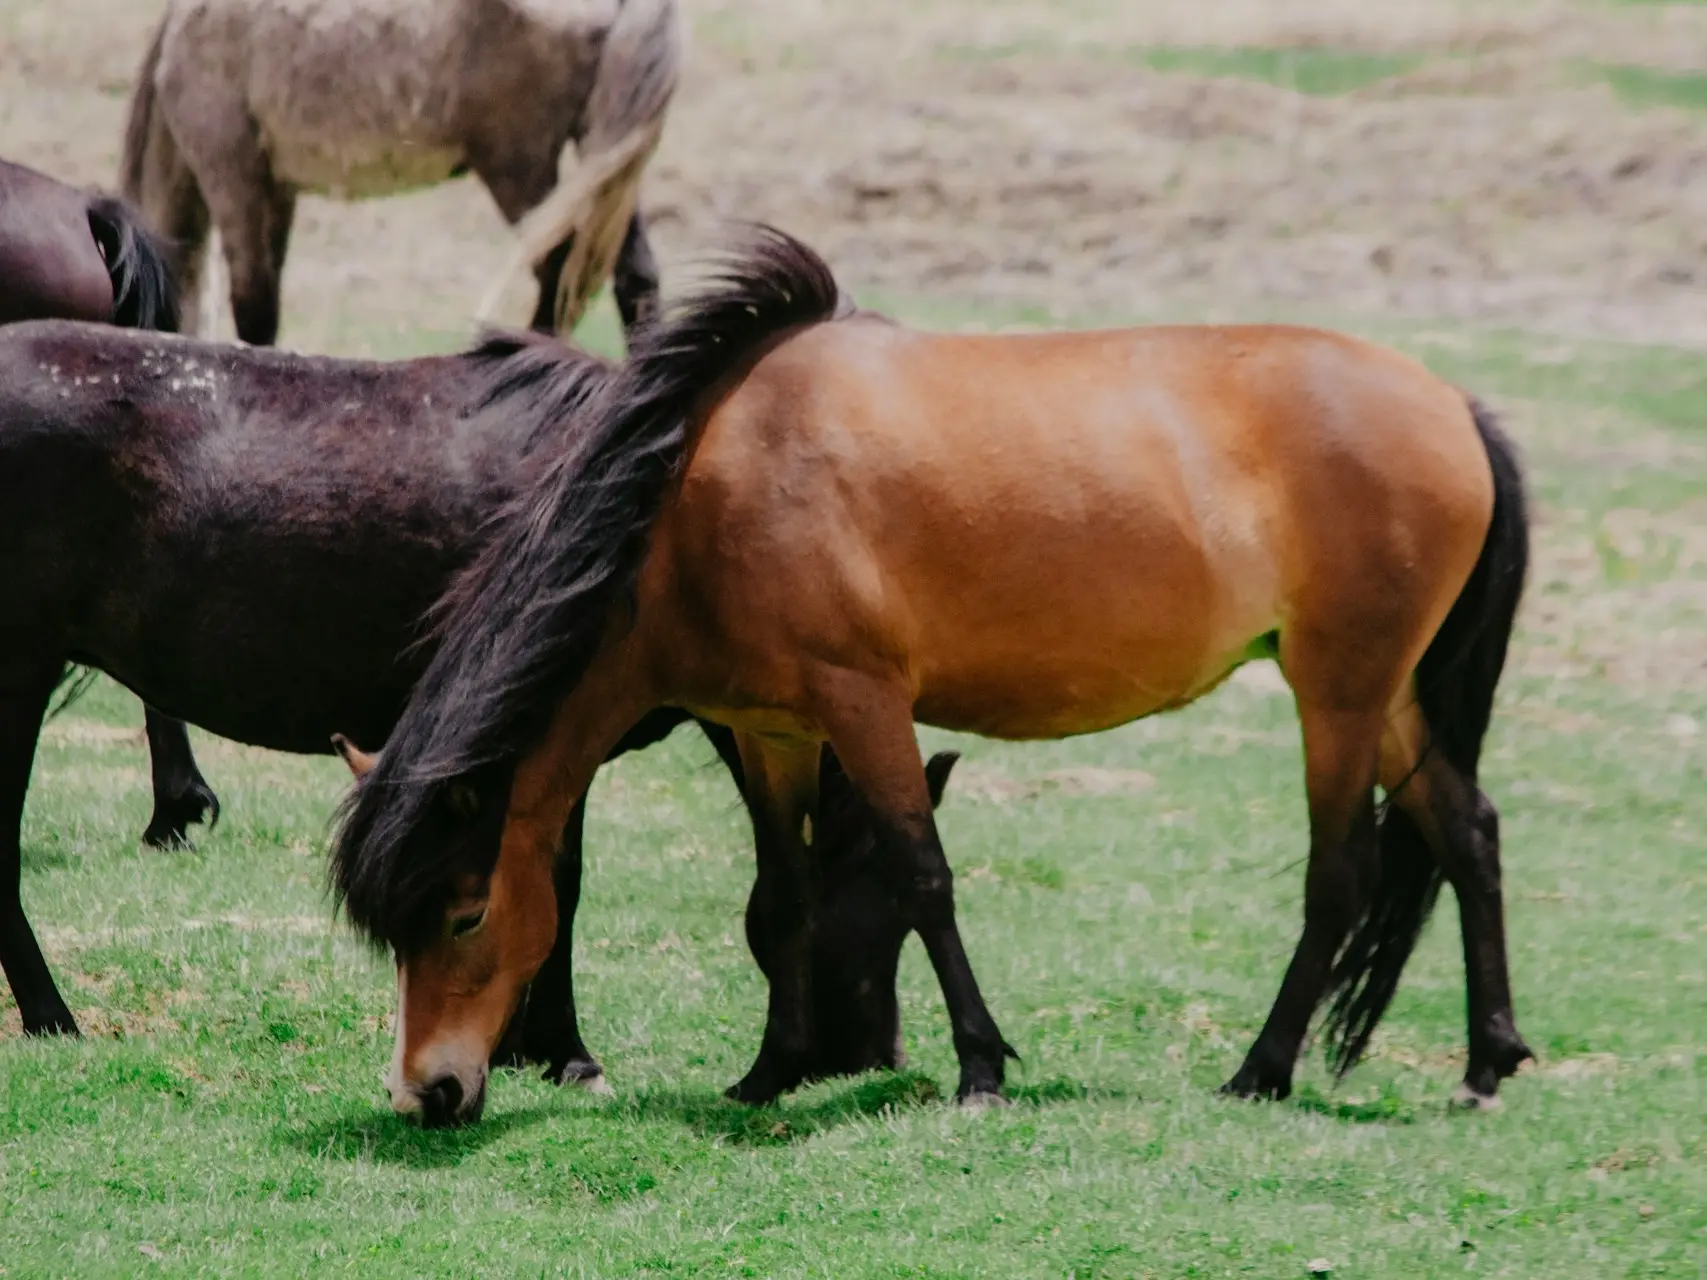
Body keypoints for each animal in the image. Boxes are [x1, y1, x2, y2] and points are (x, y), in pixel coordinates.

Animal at [118, 0, 679, 348]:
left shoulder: (233, 175)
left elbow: (256, 311)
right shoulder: (278, 190)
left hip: (521, 169)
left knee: (557, 274)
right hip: (601, 159)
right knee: (633, 277)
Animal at [332, 230, 1536, 1133]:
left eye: (465, 913)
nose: (428, 1093)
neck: (707, 492)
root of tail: (1454, 404)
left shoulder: (863, 701)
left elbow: (923, 877)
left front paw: (979, 1069)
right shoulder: (772, 730)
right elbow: (781, 898)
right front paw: (770, 1073)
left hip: (1338, 690)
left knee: (1340, 875)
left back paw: (1262, 1068)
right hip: (1386, 694)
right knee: (1467, 829)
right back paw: (1485, 1063)